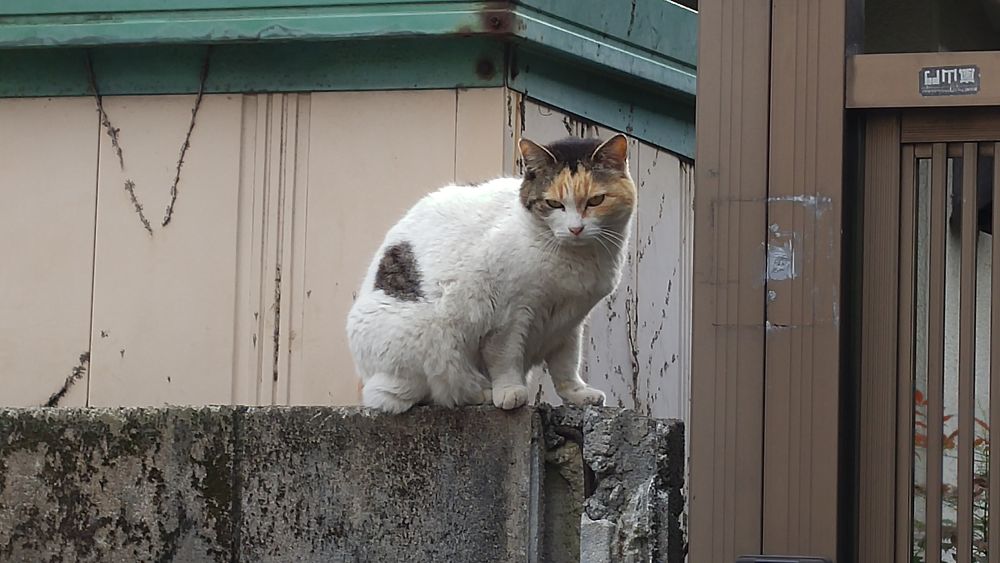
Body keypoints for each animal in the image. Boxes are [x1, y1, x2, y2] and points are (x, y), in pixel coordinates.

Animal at [346, 134, 636, 413]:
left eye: (595, 200)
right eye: (553, 203)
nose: (575, 229)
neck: (577, 261)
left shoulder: (569, 323)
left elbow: (567, 365)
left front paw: (578, 394)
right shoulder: (509, 316)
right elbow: (506, 357)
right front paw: (509, 391)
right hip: (431, 343)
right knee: (436, 391)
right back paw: (485, 393)